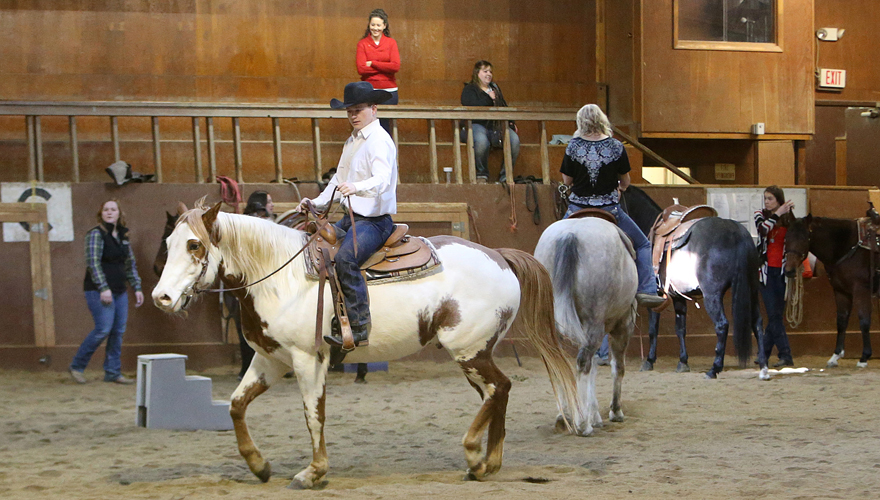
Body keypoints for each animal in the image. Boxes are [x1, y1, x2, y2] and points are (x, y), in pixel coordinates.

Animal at [153, 202, 576, 488]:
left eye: (194, 245)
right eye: (169, 242)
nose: (161, 298)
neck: (278, 275)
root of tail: (499, 256)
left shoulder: (308, 359)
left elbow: (313, 415)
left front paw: (313, 472)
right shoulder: (270, 359)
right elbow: (236, 406)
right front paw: (259, 465)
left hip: (468, 350)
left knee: (498, 388)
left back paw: (475, 453)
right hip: (475, 353)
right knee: (496, 392)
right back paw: (488, 462)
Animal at [532, 217, 636, 436]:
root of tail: (570, 235)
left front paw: (594, 414)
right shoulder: (622, 326)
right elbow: (617, 367)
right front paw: (615, 411)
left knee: (558, 364)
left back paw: (565, 418)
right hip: (595, 325)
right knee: (583, 363)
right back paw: (582, 425)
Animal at [784, 215, 872, 368]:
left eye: (804, 238)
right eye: (786, 238)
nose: (789, 271)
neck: (848, 246)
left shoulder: (861, 290)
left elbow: (864, 320)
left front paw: (864, 358)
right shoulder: (841, 291)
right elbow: (841, 321)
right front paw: (835, 356)